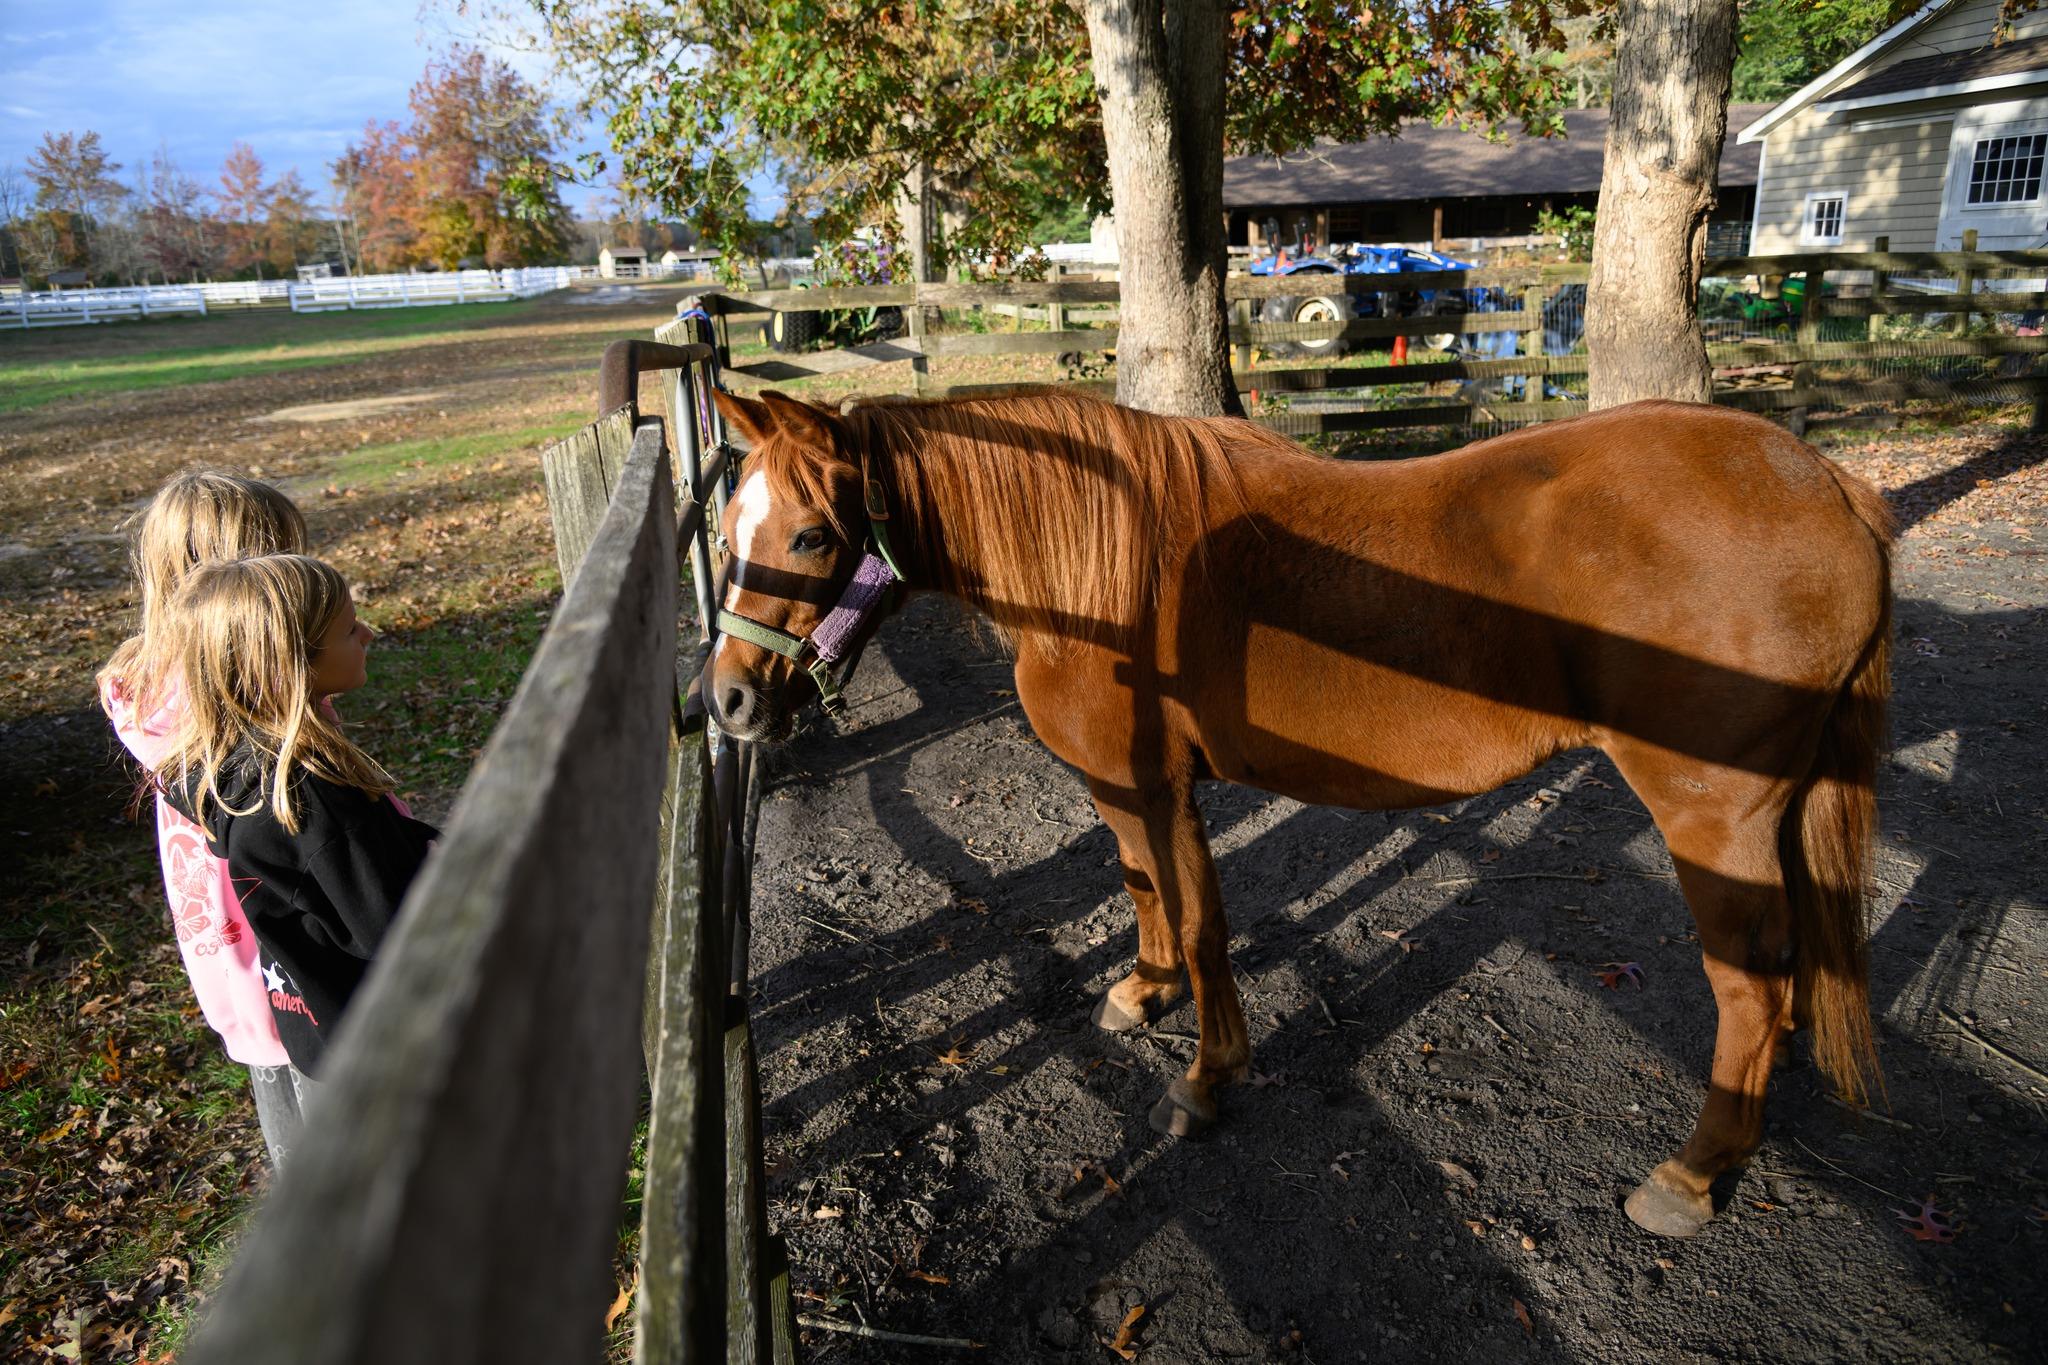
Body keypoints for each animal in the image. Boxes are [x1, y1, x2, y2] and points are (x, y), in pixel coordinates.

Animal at [705, 387, 1893, 1239]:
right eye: (729, 528)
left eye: (812, 537)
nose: (728, 702)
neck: (1098, 576)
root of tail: (1829, 485)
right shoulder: (1125, 790)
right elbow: (1142, 888)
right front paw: (1143, 993)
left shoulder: (1155, 786)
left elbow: (1200, 920)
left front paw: (1204, 1078)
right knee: (1788, 962)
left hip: (1714, 817)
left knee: (1745, 984)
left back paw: (1691, 1175)